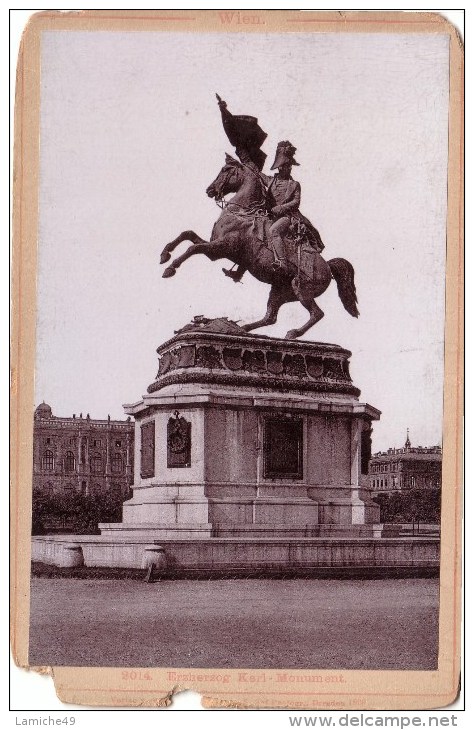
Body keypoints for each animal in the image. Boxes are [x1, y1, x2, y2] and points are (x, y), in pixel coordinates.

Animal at [160, 156, 360, 338]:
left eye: (225, 170)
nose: (209, 190)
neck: (240, 213)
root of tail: (328, 266)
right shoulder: (214, 246)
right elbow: (187, 234)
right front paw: (164, 255)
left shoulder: (221, 248)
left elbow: (193, 249)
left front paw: (170, 269)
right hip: (279, 291)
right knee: (270, 317)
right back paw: (242, 328)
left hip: (300, 288)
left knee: (317, 313)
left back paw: (292, 333)